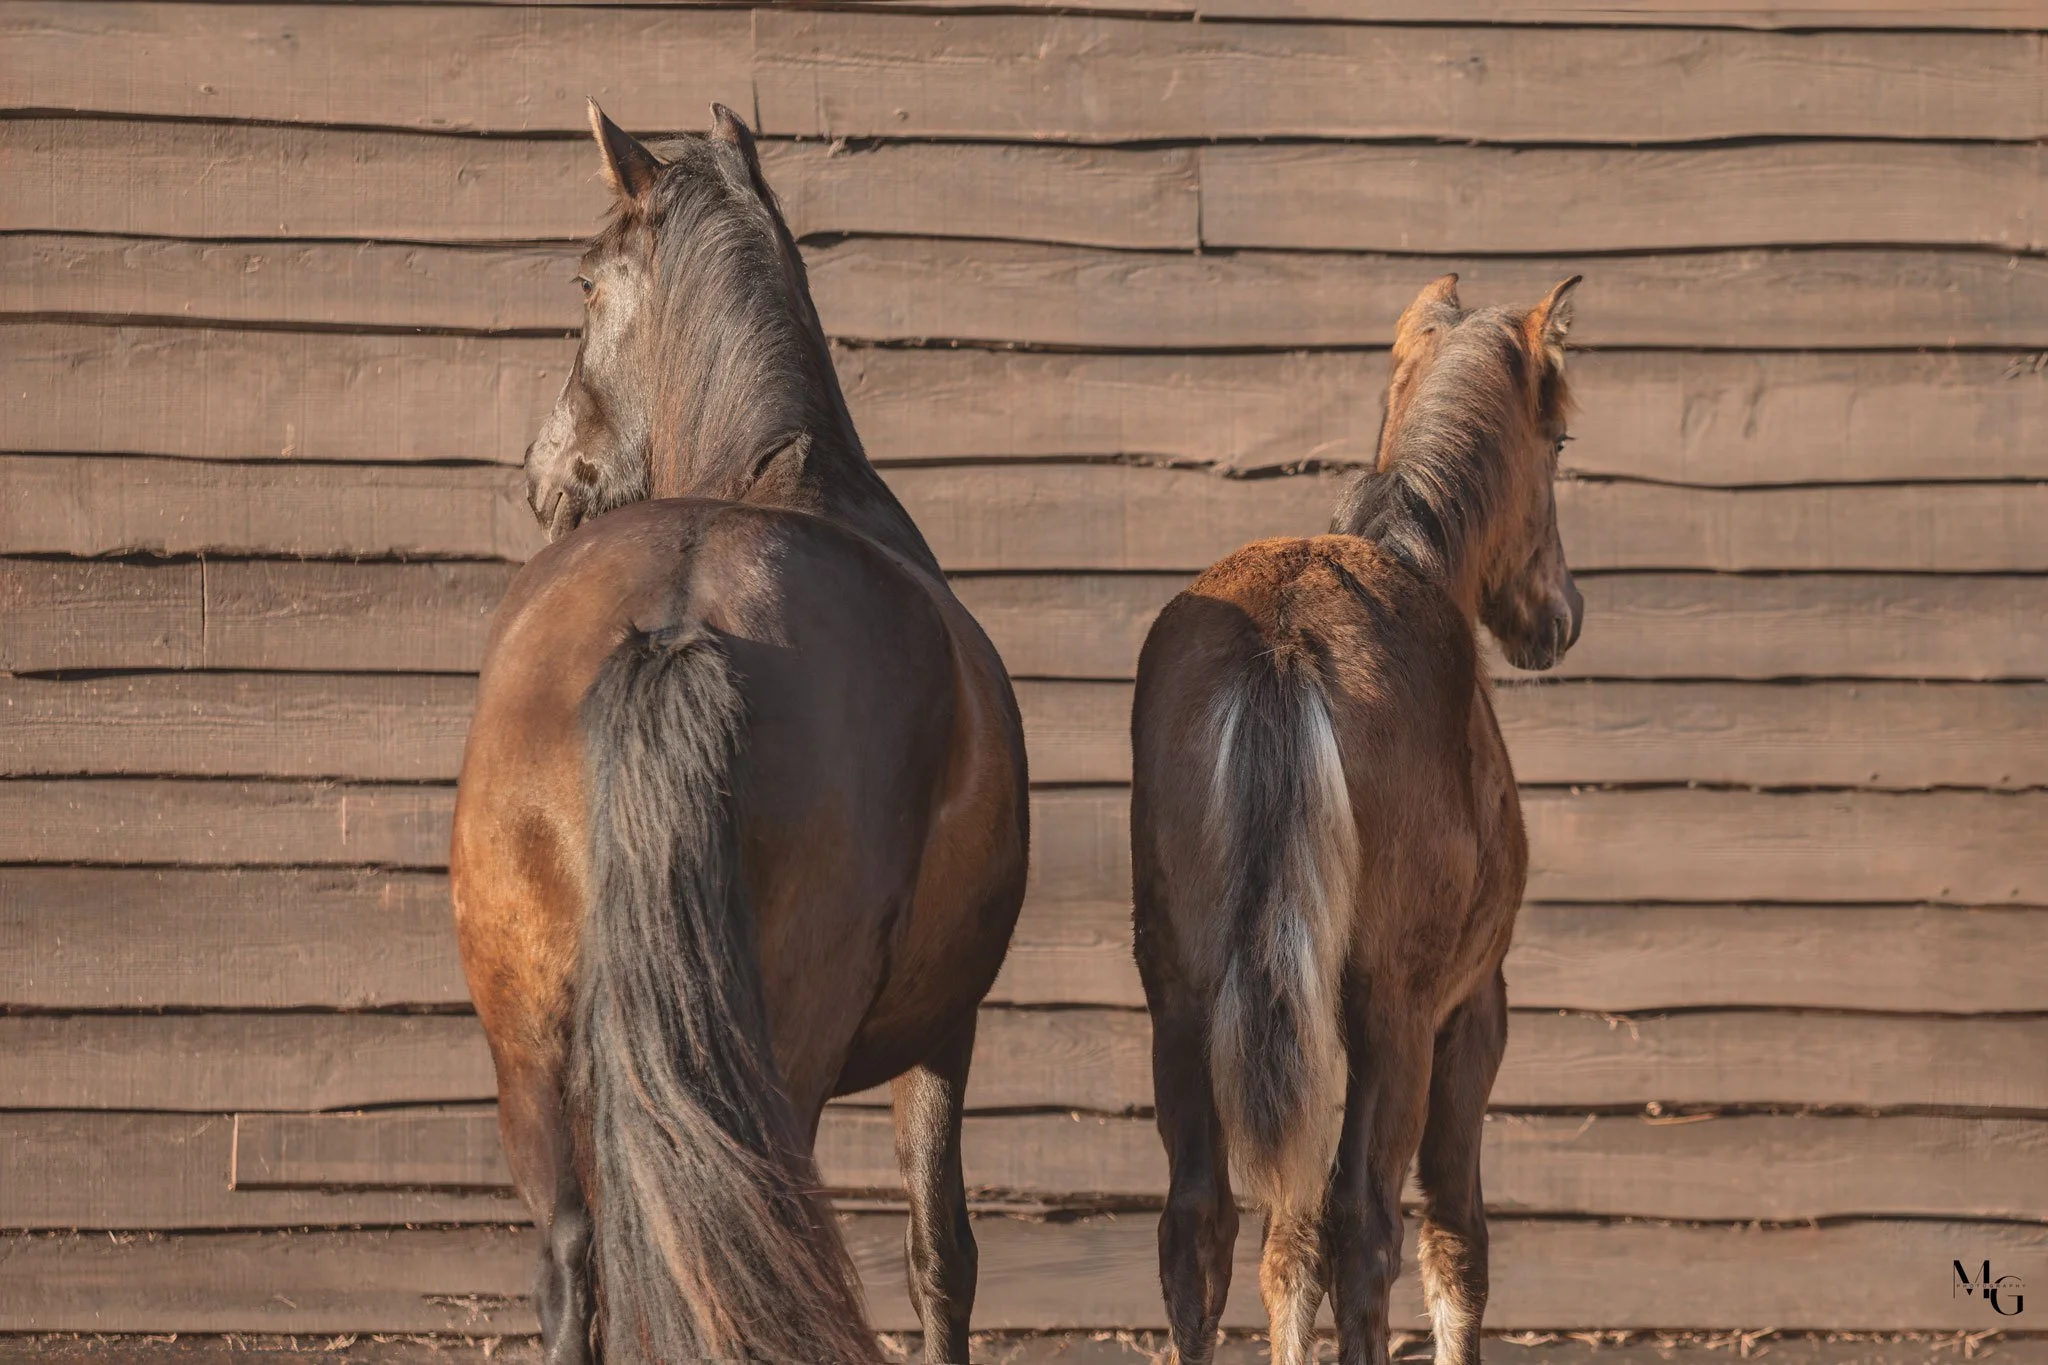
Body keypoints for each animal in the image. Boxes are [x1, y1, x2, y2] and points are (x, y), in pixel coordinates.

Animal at [449, 104, 1029, 1364]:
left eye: (582, 284)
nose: (540, 474)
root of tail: (679, 613)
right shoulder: (945, 1031)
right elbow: (941, 1256)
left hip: (530, 1045)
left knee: (575, 1260)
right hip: (780, 1053)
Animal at [1128, 274, 1585, 1365]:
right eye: (1558, 442)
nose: (1561, 614)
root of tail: (1287, 639)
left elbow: (1285, 1243)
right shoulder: (1471, 1008)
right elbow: (1453, 1234)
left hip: (1185, 995)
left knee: (1200, 1222)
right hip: (1394, 1010)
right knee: (1366, 1222)